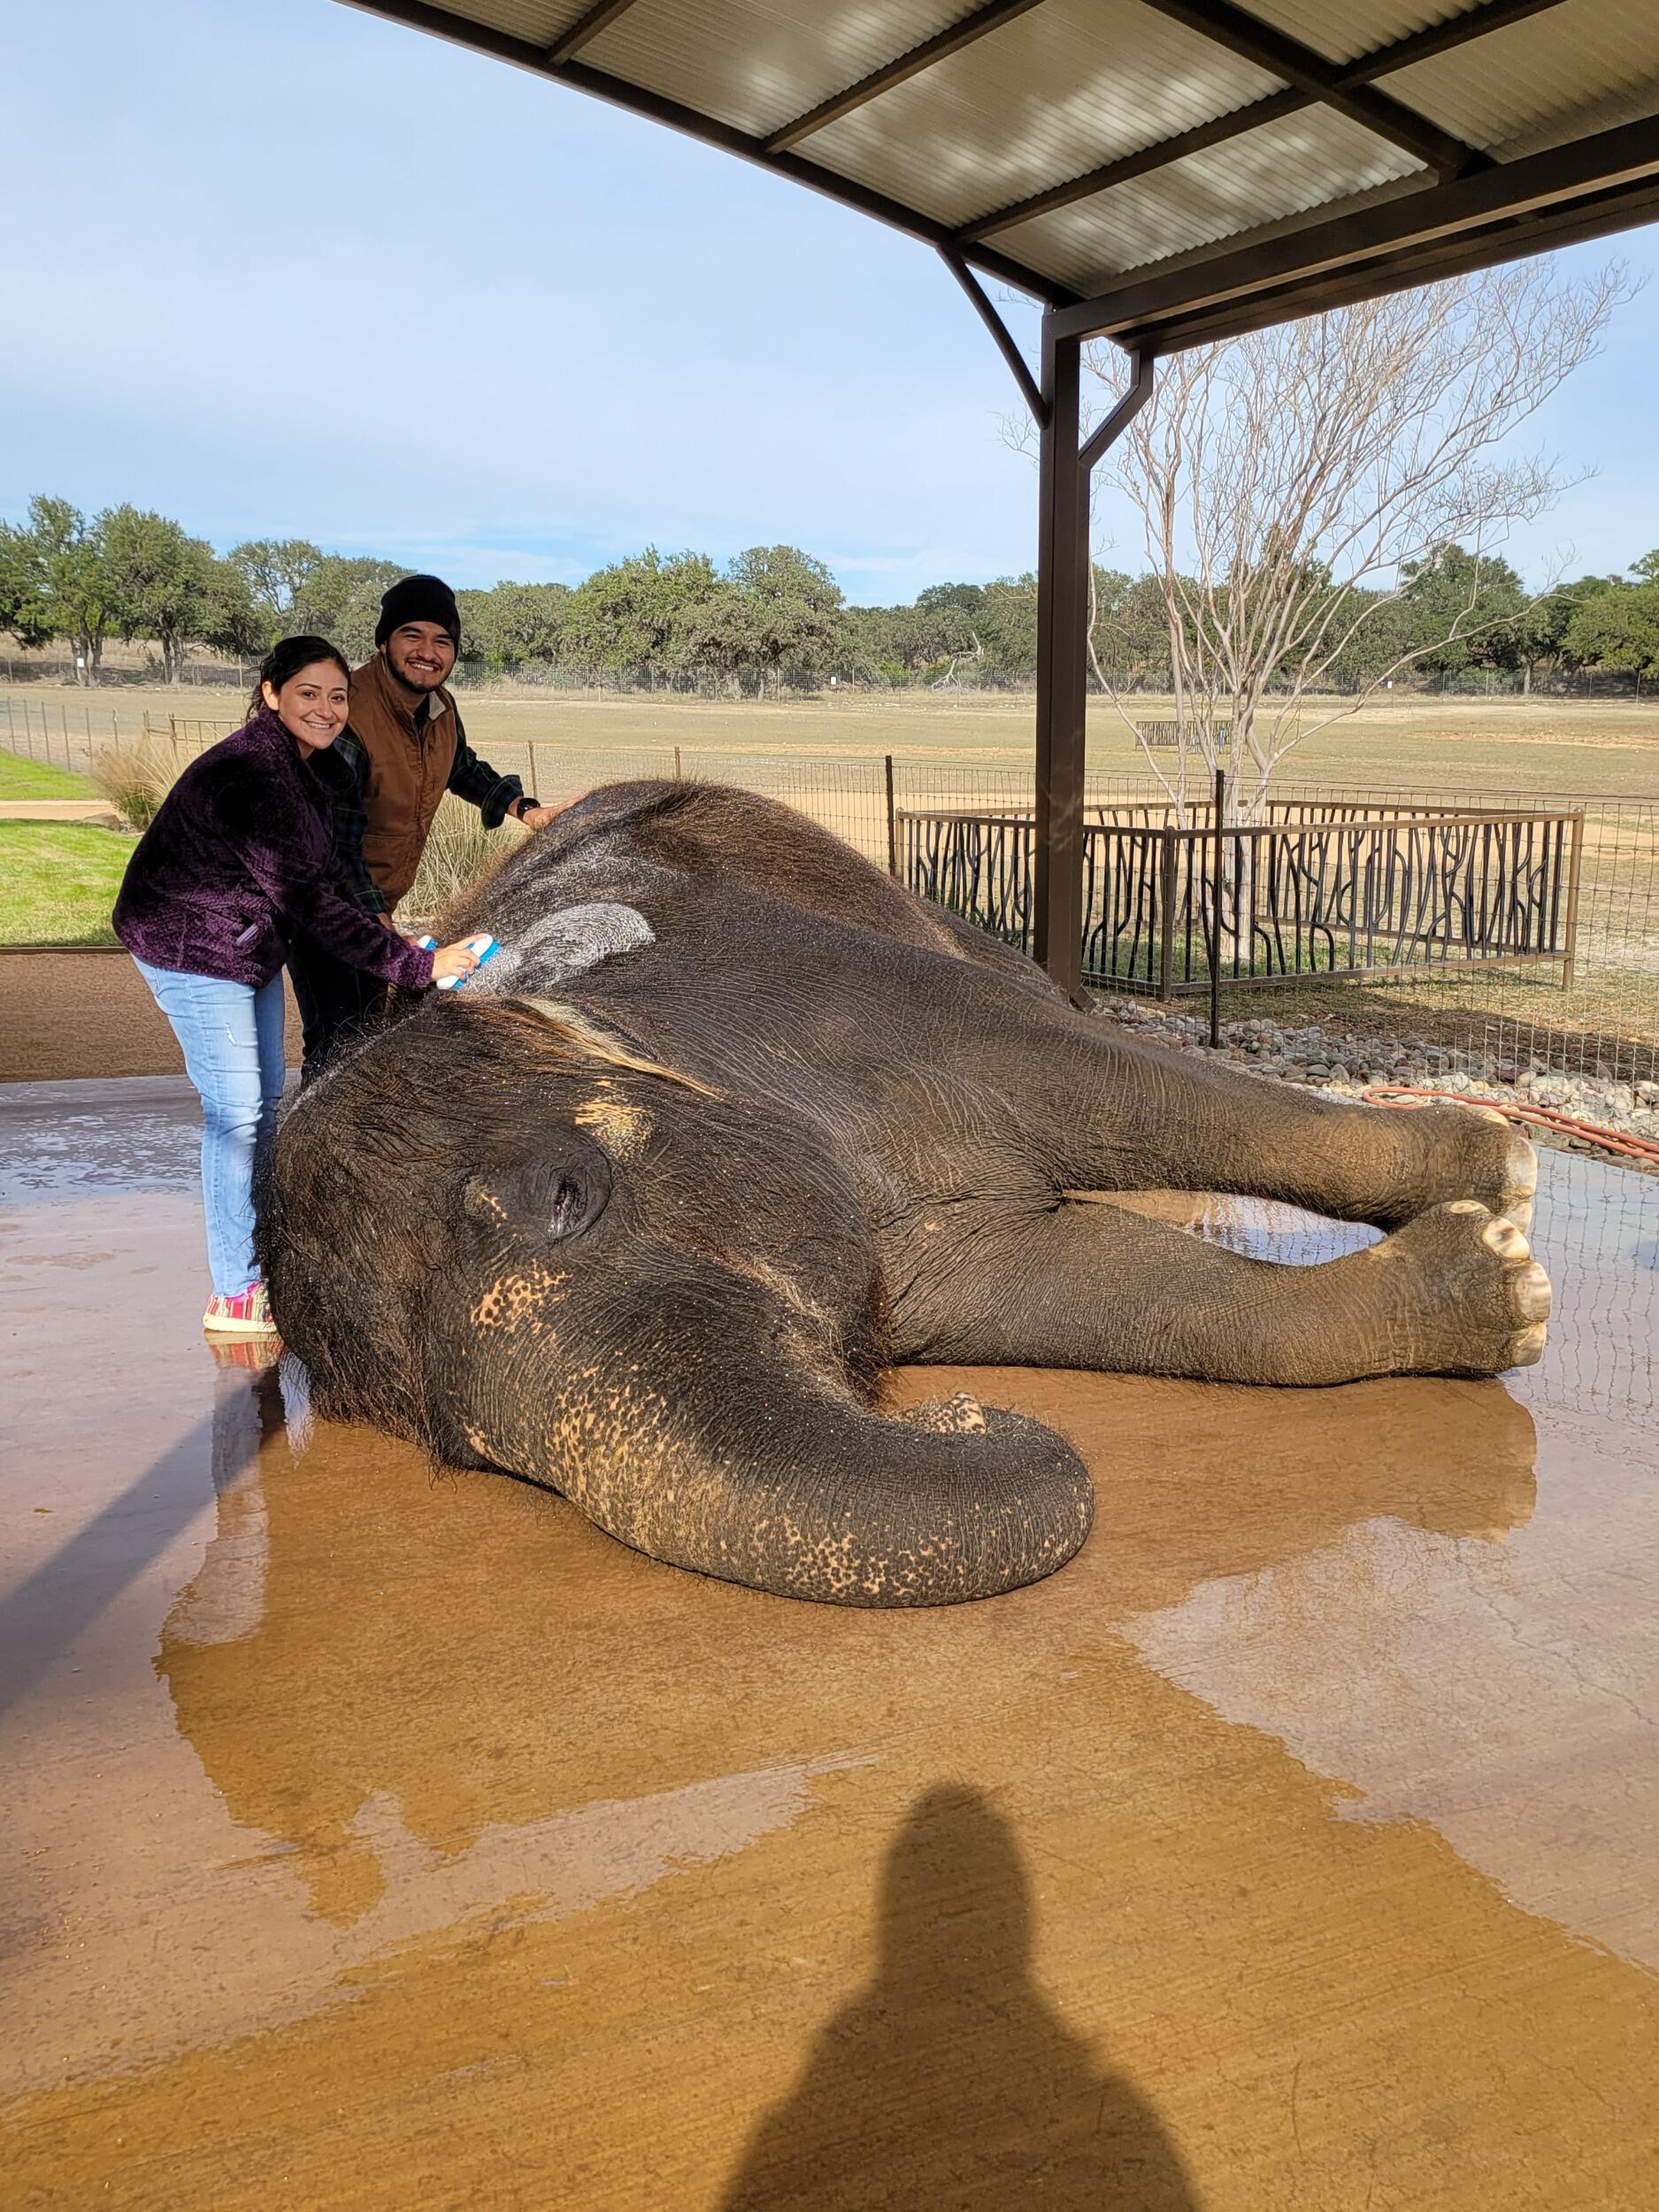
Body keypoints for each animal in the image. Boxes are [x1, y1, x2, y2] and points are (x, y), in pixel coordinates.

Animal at [263, 779, 1549, 1608]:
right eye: (457, 1442)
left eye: (569, 1192)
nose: (956, 1411)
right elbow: (1086, 1280)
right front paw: (1497, 1285)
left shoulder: (847, 994)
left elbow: (1127, 1091)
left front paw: (1501, 1180)